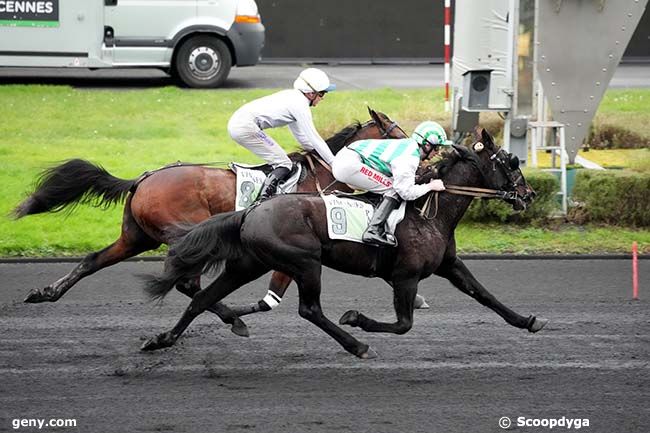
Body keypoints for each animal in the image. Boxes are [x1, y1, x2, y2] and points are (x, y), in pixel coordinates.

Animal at [11, 107, 410, 334]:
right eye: (399, 134)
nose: (422, 154)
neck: (323, 175)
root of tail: (143, 178)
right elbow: (272, 297)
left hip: (137, 237)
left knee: (93, 260)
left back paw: (45, 293)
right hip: (187, 236)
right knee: (188, 283)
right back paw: (232, 319)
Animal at [143, 126, 548, 356]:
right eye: (512, 161)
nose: (529, 194)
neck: (430, 213)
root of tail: (251, 211)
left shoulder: (449, 265)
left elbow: (485, 295)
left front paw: (528, 321)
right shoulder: (405, 276)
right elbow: (404, 323)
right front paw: (358, 319)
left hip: (248, 263)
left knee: (202, 298)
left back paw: (162, 340)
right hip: (305, 262)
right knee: (309, 310)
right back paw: (357, 345)